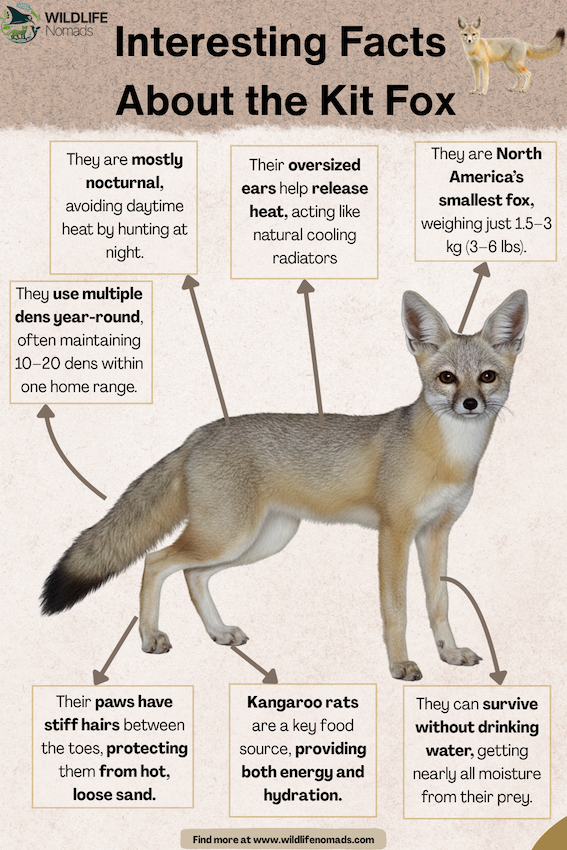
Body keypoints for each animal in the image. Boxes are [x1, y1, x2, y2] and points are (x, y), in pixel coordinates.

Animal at [41, 289, 528, 681]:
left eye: (487, 377)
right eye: (447, 378)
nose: (470, 403)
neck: (449, 458)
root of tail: (199, 433)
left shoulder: (435, 533)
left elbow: (439, 604)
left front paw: (449, 653)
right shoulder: (394, 533)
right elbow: (398, 610)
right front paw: (400, 665)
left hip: (261, 540)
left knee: (193, 575)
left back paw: (218, 631)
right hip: (228, 536)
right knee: (156, 561)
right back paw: (149, 636)